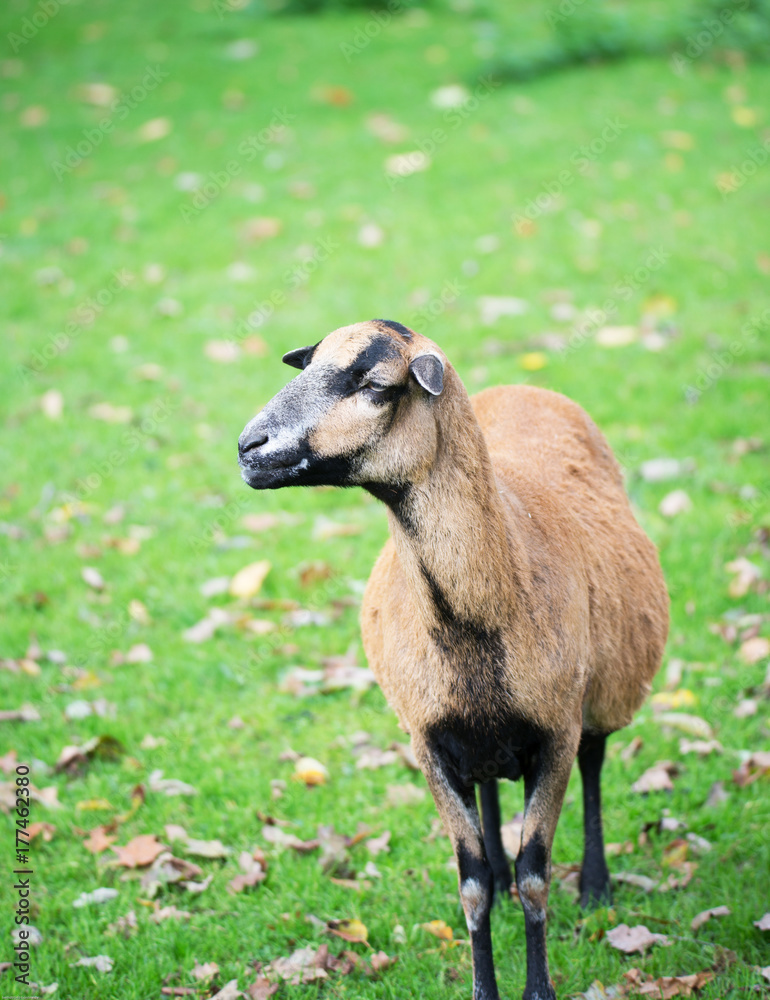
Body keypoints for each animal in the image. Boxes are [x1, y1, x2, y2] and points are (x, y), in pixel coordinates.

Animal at [238, 319, 669, 1000]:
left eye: (373, 385)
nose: (248, 447)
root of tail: (526, 386)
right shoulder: (431, 743)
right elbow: (472, 883)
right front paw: (484, 984)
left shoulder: (556, 732)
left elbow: (535, 875)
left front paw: (539, 987)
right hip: (481, 735)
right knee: (491, 793)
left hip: (605, 686)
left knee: (596, 763)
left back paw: (597, 888)